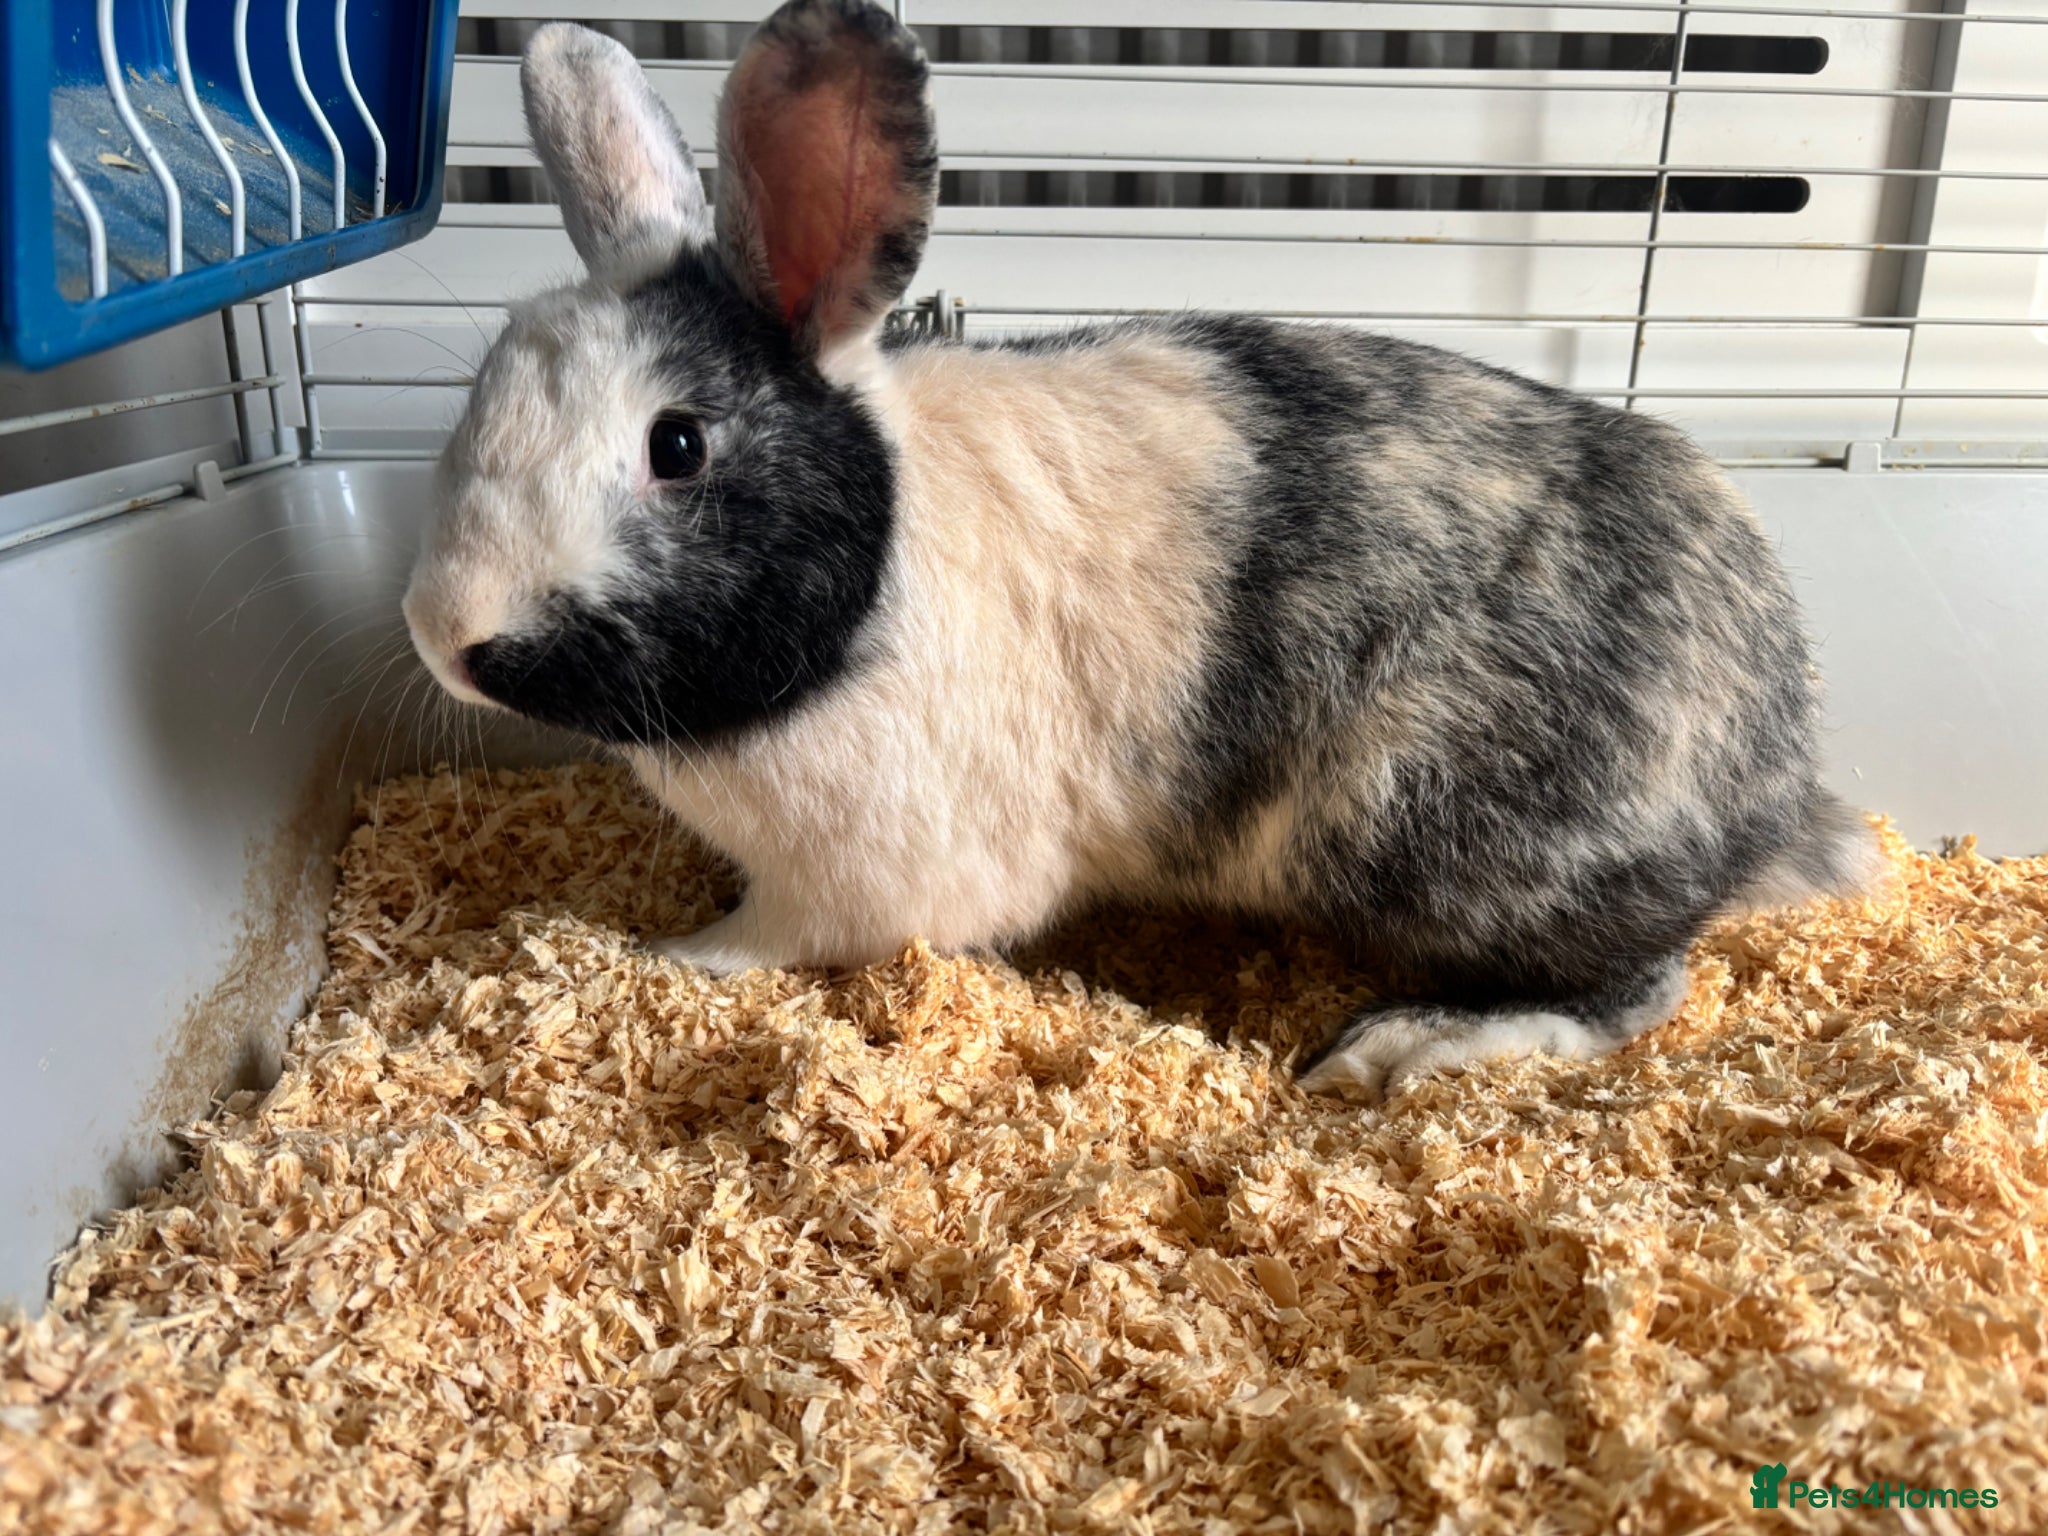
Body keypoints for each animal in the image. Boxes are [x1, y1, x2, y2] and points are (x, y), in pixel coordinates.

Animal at [401, 0, 1880, 1101]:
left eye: (679, 447)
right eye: (480, 388)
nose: (443, 636)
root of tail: (1778, 771)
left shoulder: (855, 881)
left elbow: (763, 941)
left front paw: (667, 956)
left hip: (1456, 847)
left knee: (1636, 986)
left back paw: (1408, 1047)